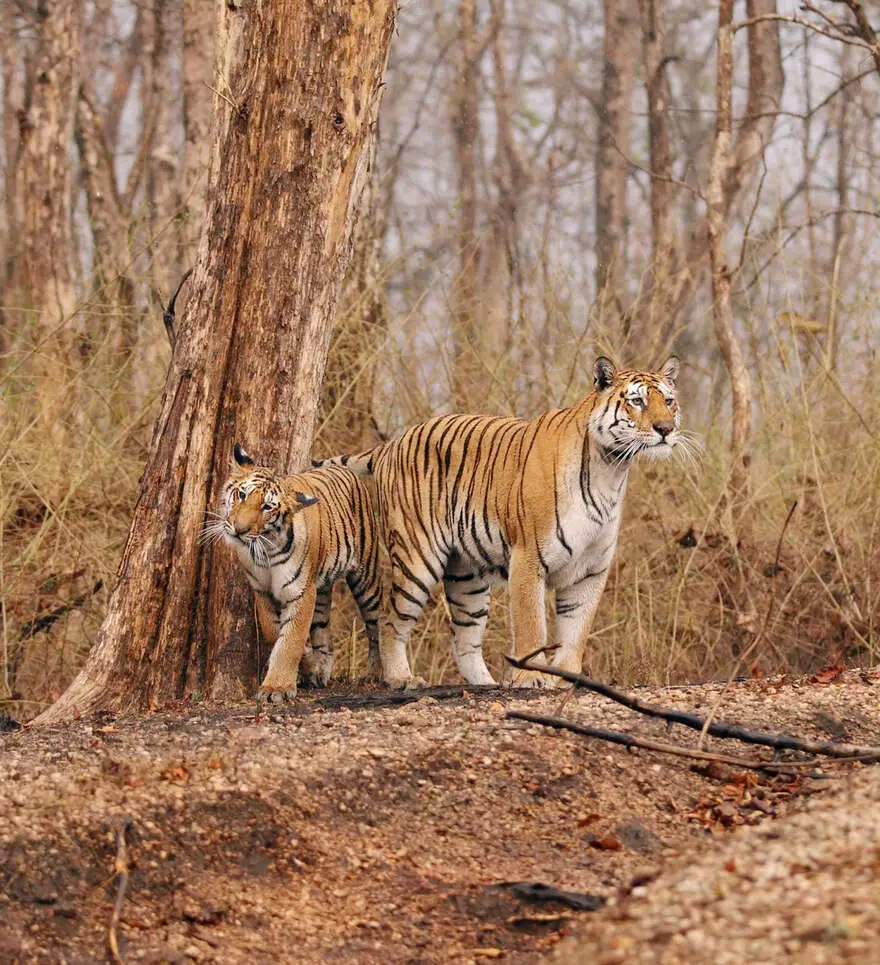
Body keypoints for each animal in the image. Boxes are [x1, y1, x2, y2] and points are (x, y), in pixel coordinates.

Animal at [210, 444, 384, 700]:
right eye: (242, 495)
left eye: (267, 507)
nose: (239, 530)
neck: (266, 551)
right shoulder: (262, 591)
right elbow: (274, 631)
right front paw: (309, 668)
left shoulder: (300, 593)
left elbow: (291, 639)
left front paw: (277, 688)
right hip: (321, 589)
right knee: (323, 634)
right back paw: (321, 671)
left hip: (366, 577)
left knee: (375, 626)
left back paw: (375, 673)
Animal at [314, 358, 680, 688]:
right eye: (637, 401)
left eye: (668, 401)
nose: (665, 429)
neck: (611, 468)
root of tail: (394, 441)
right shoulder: (529, 557)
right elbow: (532, 624)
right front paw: (531, 678)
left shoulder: (590, 570)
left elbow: (577, 628)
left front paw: (566, 677)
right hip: (417, 557)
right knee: (390, 619)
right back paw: (400, 678)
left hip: (467, 577)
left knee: (463, 639)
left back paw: (486, 684)